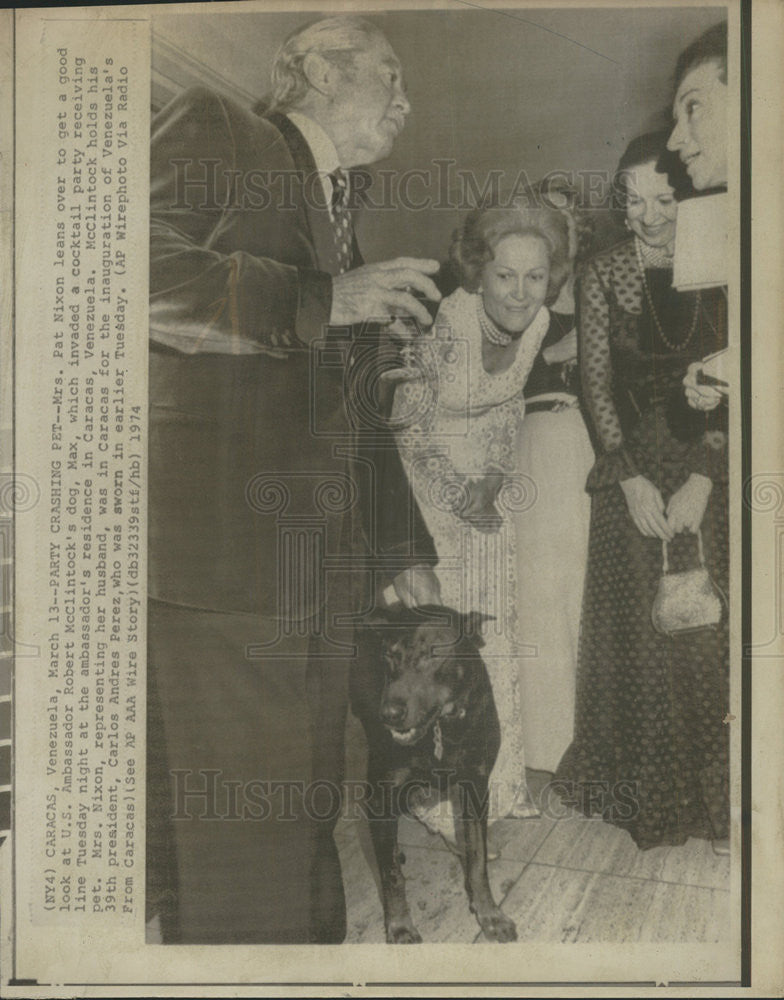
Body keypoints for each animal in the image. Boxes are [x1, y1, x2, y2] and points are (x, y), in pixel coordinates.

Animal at [352, 604, 516, 940]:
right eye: (389, 654)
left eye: (434, 653)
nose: (388, 714)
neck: (440, 728)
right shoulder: (382, 797)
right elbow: (391, 875)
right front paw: (400, 926)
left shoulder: (475, 787)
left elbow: (477, 859)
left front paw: (489, 914)